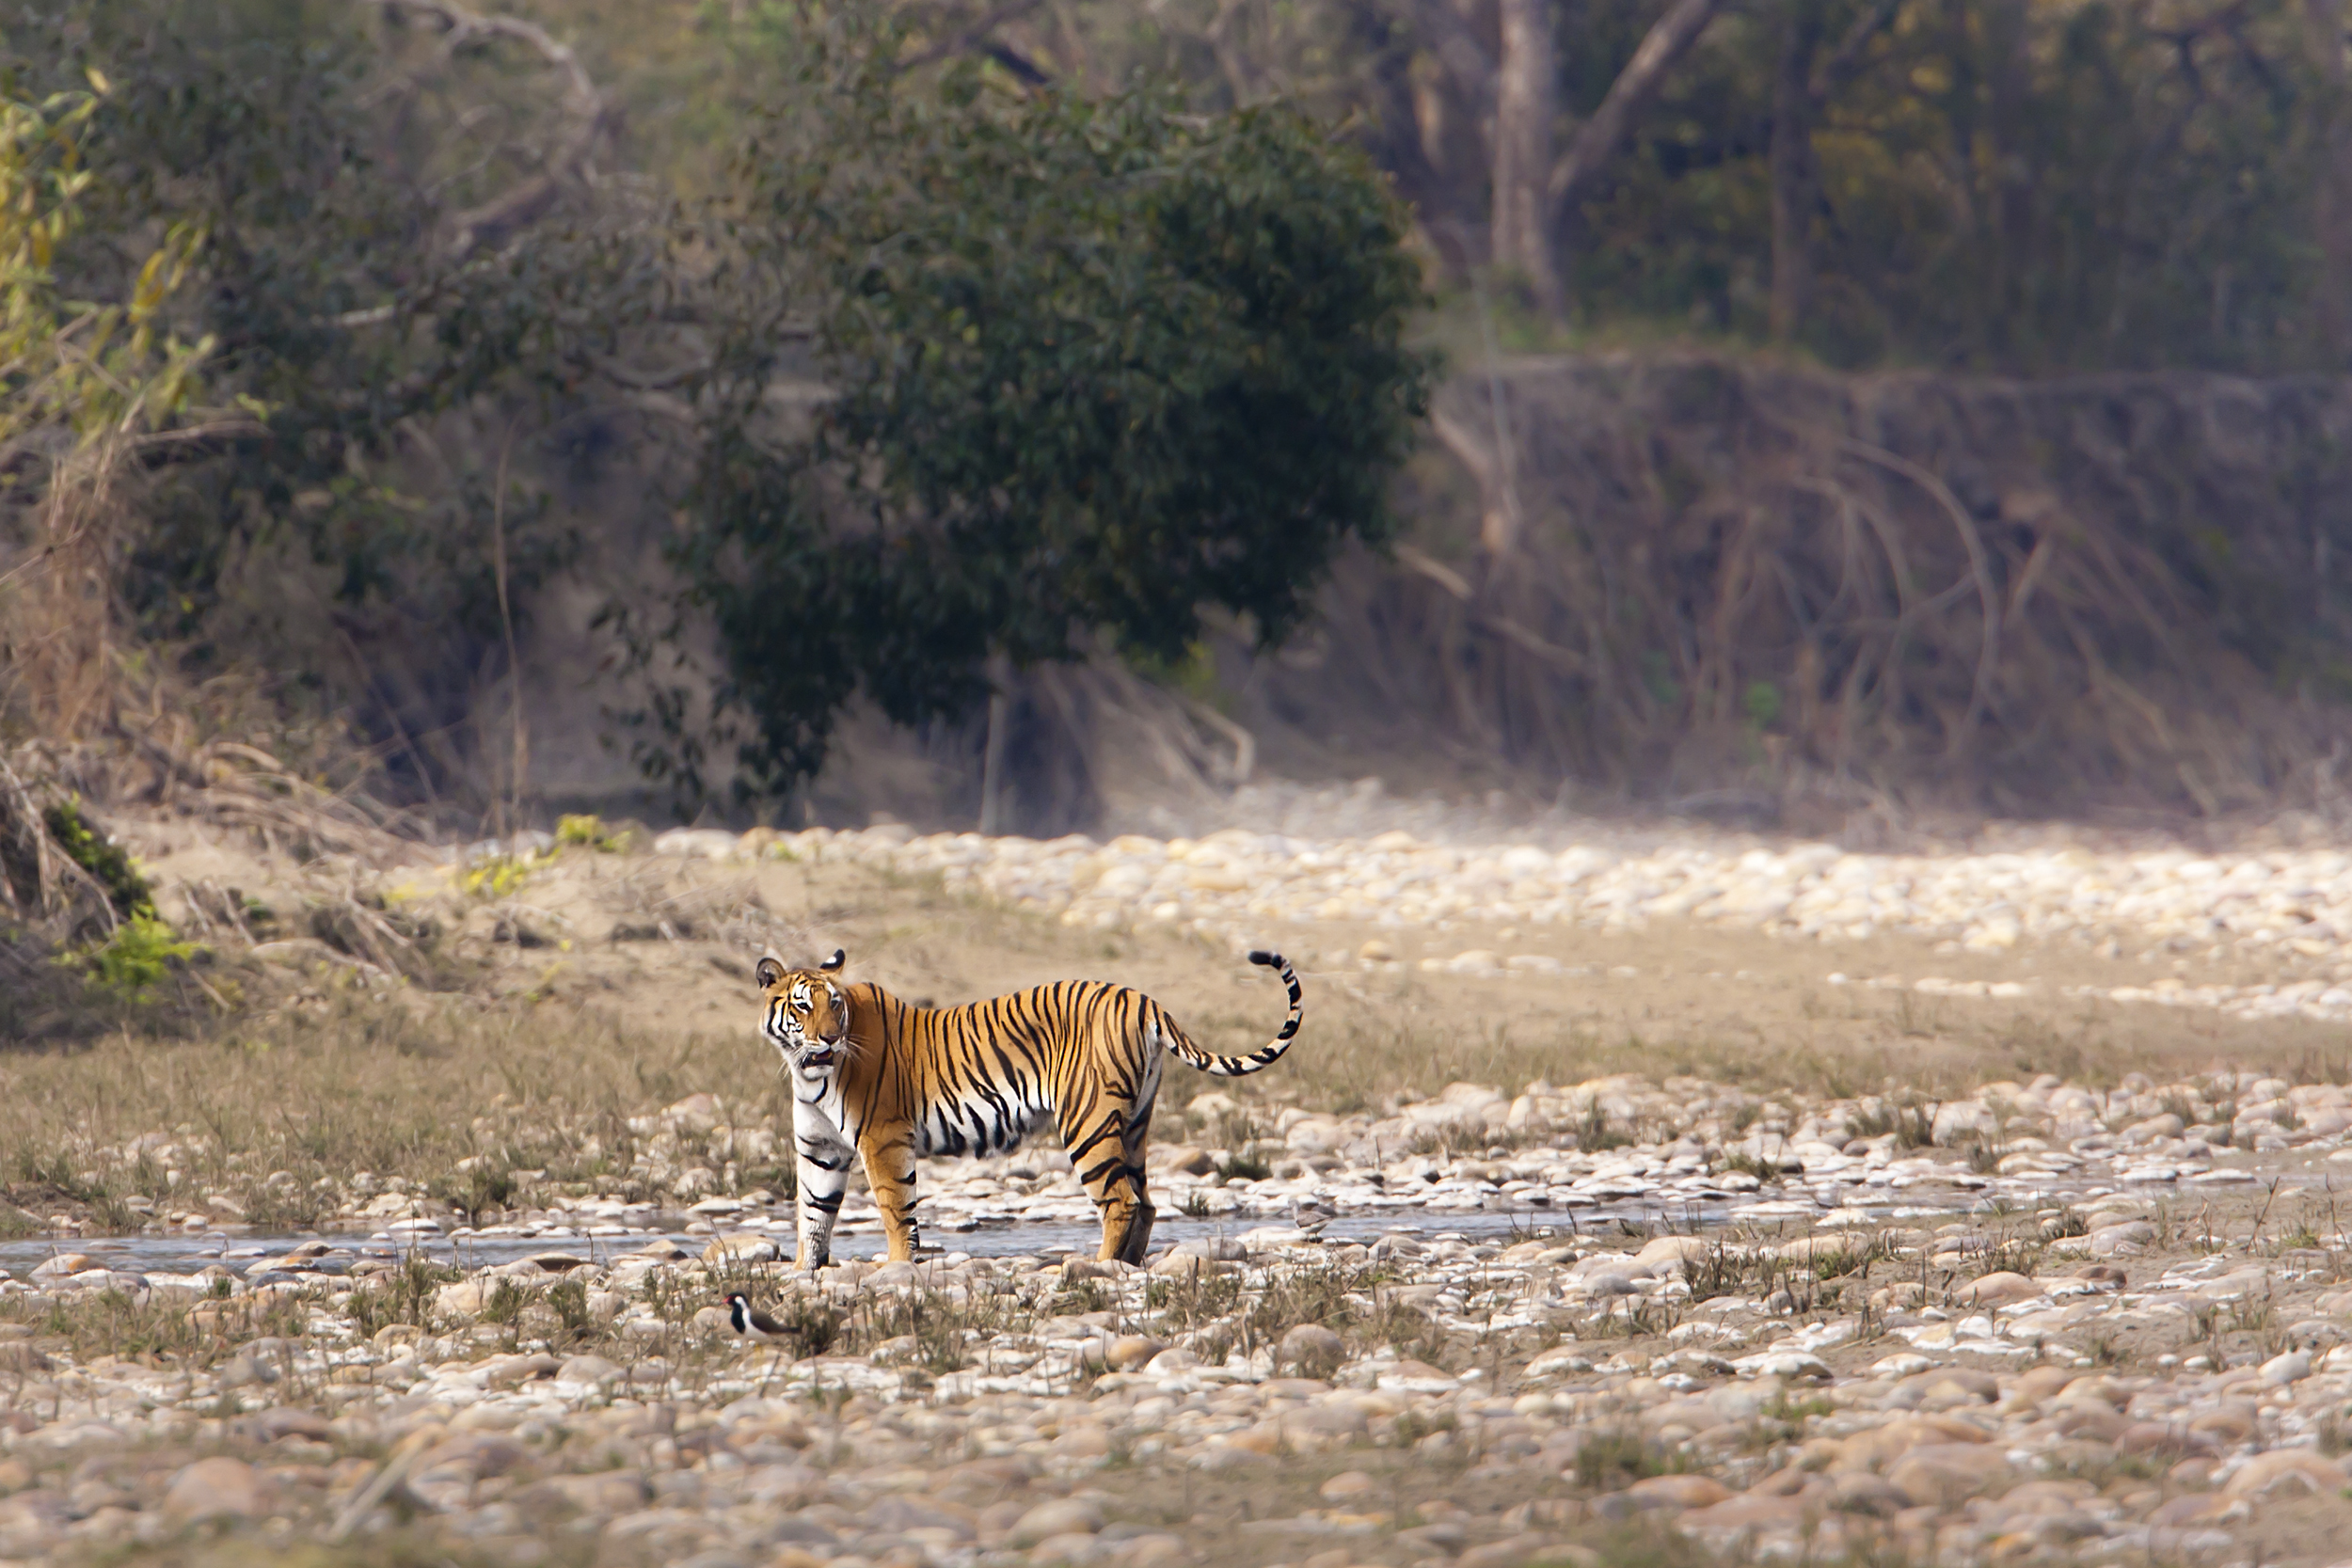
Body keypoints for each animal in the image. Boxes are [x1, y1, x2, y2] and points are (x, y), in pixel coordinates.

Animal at [753, 940, 1308, 1269]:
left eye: (835, 1004)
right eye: (803, 1005)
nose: (828, 1038)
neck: (808, 1071)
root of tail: (1143, 998)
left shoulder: (883, 1139)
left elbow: (894, 1209)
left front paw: (895, 1269)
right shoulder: (821, 1150)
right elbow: (813, 1214)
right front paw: (805, 1273)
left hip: (1087, 1123)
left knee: (1120, 1200)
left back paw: (1099, 1268)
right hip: (1133, 1124)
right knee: (1146, 1201)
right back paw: (1126, 1266)